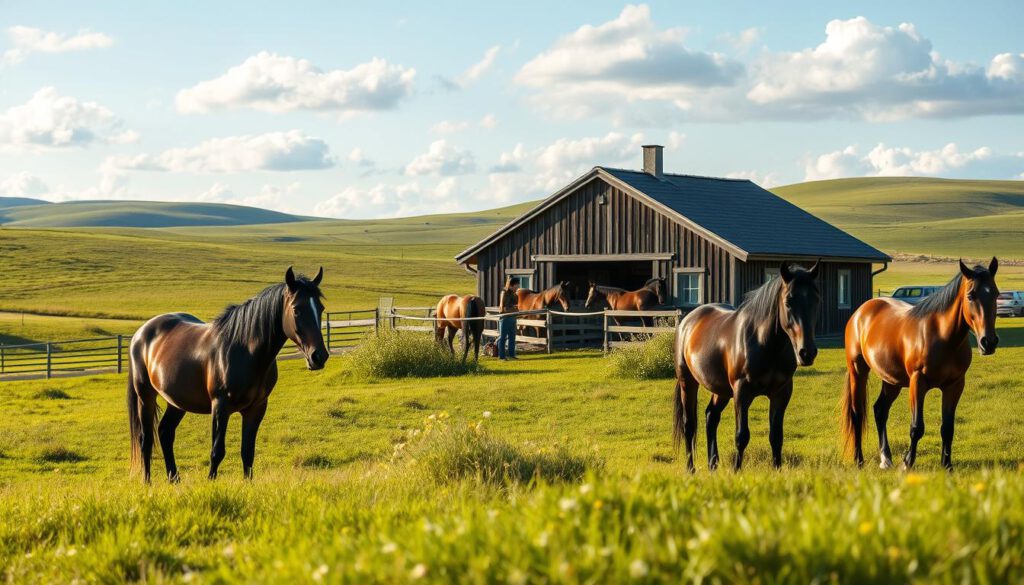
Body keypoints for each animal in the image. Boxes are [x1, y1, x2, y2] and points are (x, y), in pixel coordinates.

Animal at [127, 267, 328, 483]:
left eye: (320, 308)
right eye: (297, 309)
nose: (319, 356)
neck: (245, 351)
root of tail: (141, 333)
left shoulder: (256, 409)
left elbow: (247, 452)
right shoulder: (220, 406)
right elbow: (217, 451)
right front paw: (211, 482)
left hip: (177, 401)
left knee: (165, 432)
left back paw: (174, 479)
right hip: (145, 396)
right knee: (146, 440)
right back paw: (147, 482)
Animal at [673, 261, 820, 472]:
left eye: (816, 300)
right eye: (788, 302)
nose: (806, 352)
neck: (766, 343)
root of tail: (687, 320)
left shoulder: (781, 393)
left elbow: (776, 436)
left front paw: (777, 470)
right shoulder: (741, 391)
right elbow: (741, 436)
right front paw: (736, 471)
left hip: (721, 390)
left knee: (711, 417)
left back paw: (713, 464)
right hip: (688, 382)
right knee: (689, 425)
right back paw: (690, 468)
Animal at [841, 259, 1000, 471]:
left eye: (996, 293)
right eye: (971, 295)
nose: (988, 342)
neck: (942, 336)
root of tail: (860, 312)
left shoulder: (955, 385)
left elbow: (947, 427)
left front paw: (947, 465)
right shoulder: (918, 382)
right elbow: (917, 427)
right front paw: (907, 463)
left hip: (891, 381)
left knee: (880, 410)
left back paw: (886, 459)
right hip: (858, 371)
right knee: (857, 413)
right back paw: (859, 460)